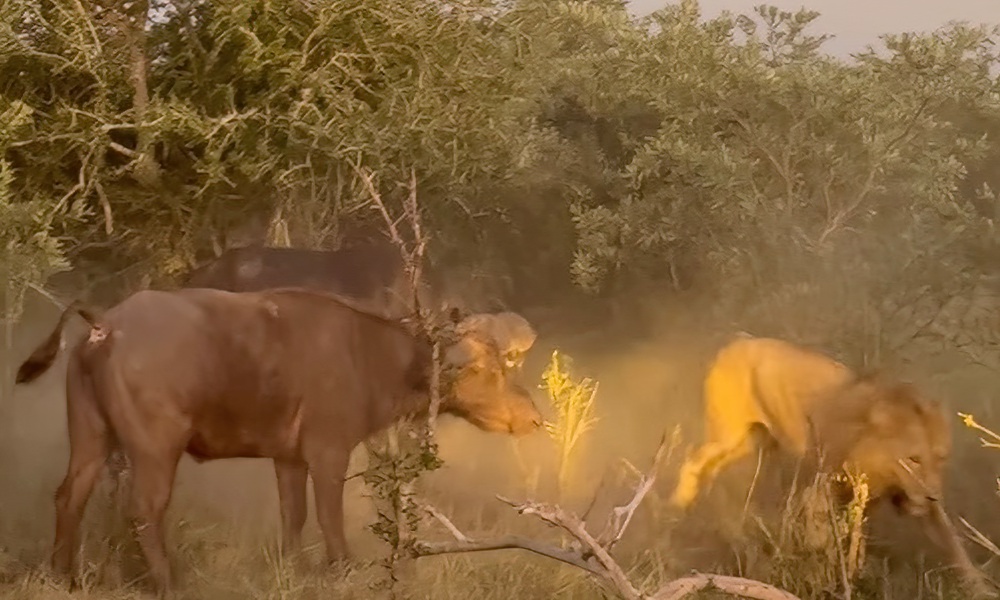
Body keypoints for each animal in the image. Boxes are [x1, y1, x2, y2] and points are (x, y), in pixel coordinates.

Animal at [15, 286, 544, 596]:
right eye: (488, 368)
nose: (534, 417)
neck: (368, 353)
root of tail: (106, 325)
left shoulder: (289, 459)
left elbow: (294, 516)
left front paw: (293, 568)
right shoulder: (329, 451)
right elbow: (330, 518)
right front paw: (342, 570)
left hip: (90, 436)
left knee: (69, 497)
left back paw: (62, 577)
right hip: (154, 448)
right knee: (144, 510)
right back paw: (169, 585)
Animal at [672, 336, 992, 596]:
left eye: (940, 457)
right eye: (914, 458)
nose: (933, 496)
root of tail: (739, 341)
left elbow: (953, 544)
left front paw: (980, 587)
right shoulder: (820, 488)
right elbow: (824, 540)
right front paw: (827, 579)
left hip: (751, 445)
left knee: (712, 470)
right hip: (730, 436)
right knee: (695, 460)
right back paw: (682, 505)